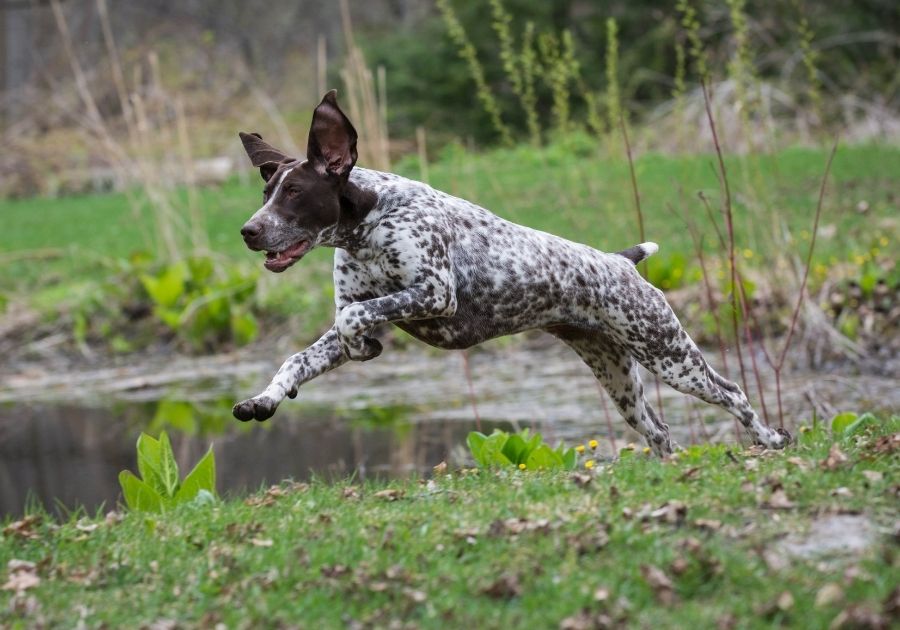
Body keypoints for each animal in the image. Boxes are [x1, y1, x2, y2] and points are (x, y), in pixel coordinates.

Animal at [232, 89, 788, 456]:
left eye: (295, 193)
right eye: (266, 193)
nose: (248, 230)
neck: (369, 223)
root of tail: (620, 261)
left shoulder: (435, 294)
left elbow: (355, 323)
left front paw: (362, 347)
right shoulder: (352, 312)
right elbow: (298, 358)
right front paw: (266, 399)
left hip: (669, 356)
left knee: (734, 394)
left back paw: (769, 439)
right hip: (619, 377)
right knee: (660, 433)